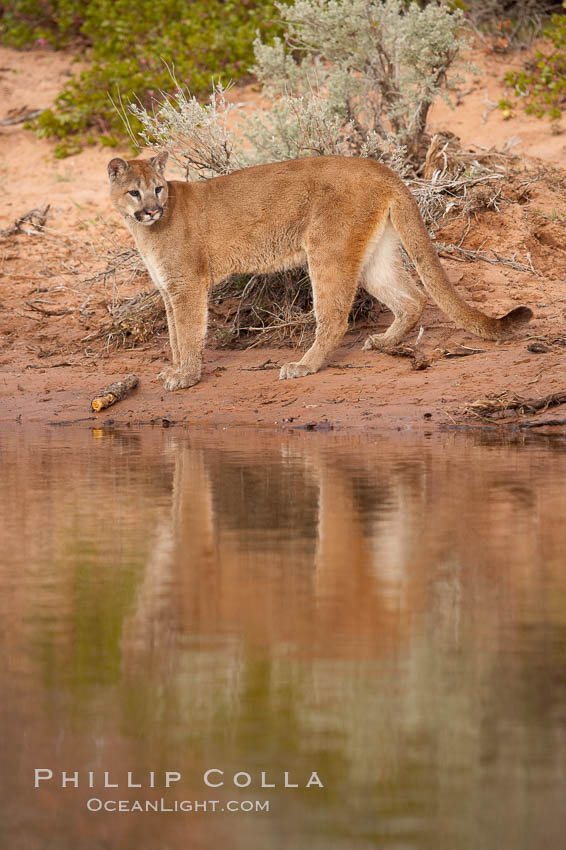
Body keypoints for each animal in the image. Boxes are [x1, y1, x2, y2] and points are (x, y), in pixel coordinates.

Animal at [108, 153, 536, 390]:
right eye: (135, 192)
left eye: (158, 188)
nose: (152, 209)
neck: (145, 230)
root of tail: (380, 167)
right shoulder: (169, 289)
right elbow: (174, 335)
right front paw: (175, 369)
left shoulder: (187, 285)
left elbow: (188, 332)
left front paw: (186, 377)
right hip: (374, 255)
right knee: (412, 298)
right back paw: (383, 342)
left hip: (327, 249)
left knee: (334, 317)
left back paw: (304, 366)